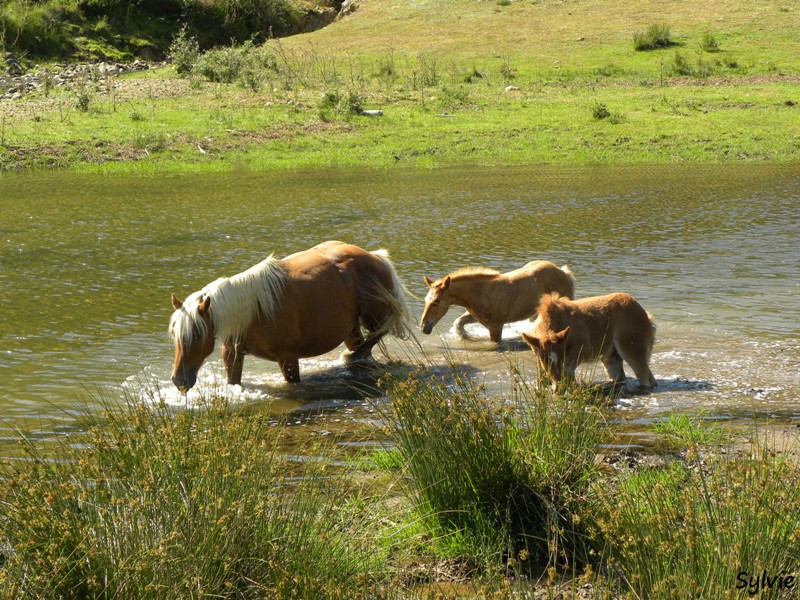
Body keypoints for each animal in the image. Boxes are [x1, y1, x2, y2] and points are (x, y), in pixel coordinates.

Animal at [167, 240, 406, 390]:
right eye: (174, 335)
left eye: (197, 334)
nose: (179, 380)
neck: (254, 312)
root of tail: (375, 256)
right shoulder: (233, 356)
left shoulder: (288, 359)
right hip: (351, 328)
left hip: (375, 317)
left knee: (375, 337)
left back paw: (353, 357)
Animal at [418, 262, 576, 342]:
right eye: (426, 300)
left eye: (436, 302)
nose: (424, 328)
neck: (479, 293)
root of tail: (565, 272)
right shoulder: (476, 317)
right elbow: (458, 323)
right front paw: (468, 337)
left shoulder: (495, 326)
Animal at [520, 294, 660, 390]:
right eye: (544, 360)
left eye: (562, 355)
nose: (558, 386)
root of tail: (646, 315)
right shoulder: (537, 353)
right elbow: (542, 375)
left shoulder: (581, 347)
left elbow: (567, 368)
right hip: (610, 357)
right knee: (620, 377)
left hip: (632, 351)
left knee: (646, 378)